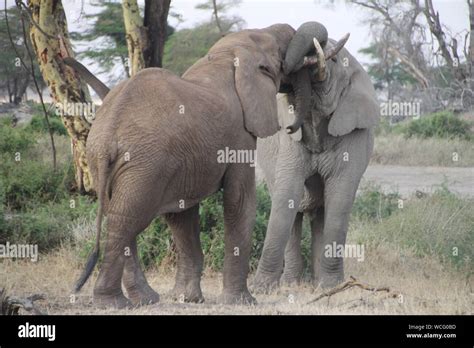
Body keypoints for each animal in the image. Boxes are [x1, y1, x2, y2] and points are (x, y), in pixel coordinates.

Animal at [64, 23, 298, 308]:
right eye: (279, 54)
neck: (226, 55)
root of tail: (110, 131)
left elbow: (181, 214)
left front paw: (188, 299)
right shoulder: (239, 136)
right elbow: (239, 201)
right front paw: (242, 302)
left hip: (108, 159)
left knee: (119, 215)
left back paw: (145, 299)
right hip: (146, 163)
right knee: (126, 219)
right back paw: (114, 303)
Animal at [254, 21, 380, 292]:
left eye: (334, 61)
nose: (288, 129)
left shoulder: (353, 133)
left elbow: (340, 201)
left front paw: (331, 287)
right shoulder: (290, 143)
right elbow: (287, 196)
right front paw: (262, 289)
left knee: (321, 214)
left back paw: (318, 283)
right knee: (295, 207)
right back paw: (292, 284)